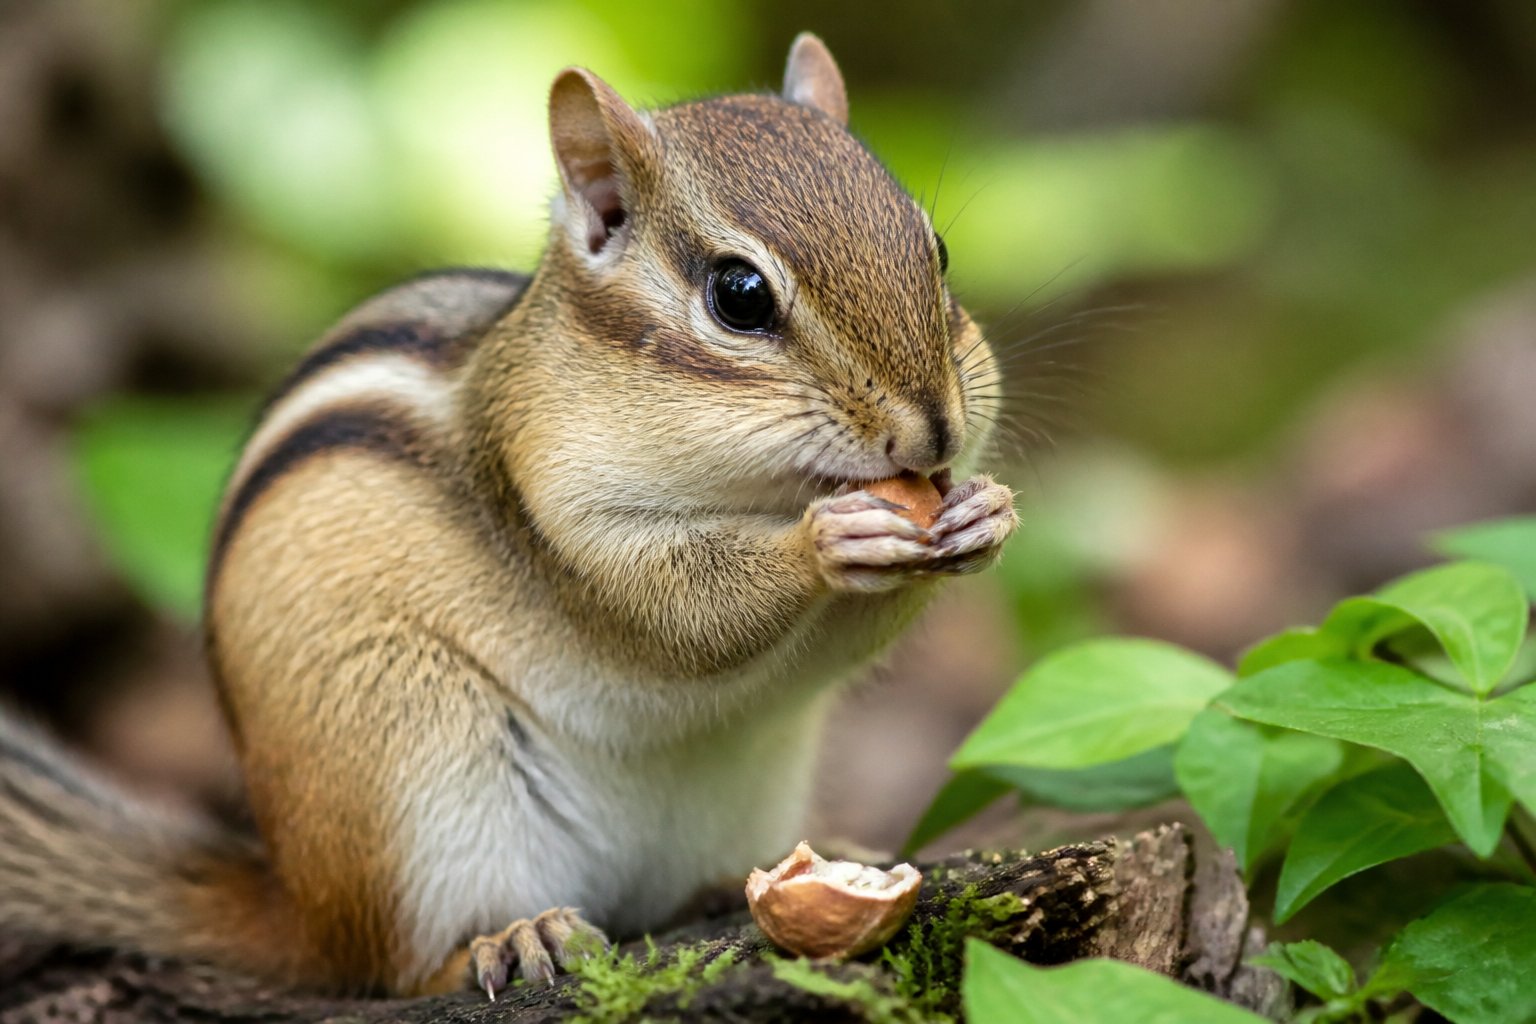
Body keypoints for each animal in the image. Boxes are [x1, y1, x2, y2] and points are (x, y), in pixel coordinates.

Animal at [0, 33, 1017, 998]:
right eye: (740, 295)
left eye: (937, 250)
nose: (932, 432)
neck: (756, 493)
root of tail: (295, 904)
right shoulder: (550, 506)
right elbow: (679, 614)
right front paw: (830, 541)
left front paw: (985, 515)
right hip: (406, 776)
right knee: (393, 969)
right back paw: (512, 938)